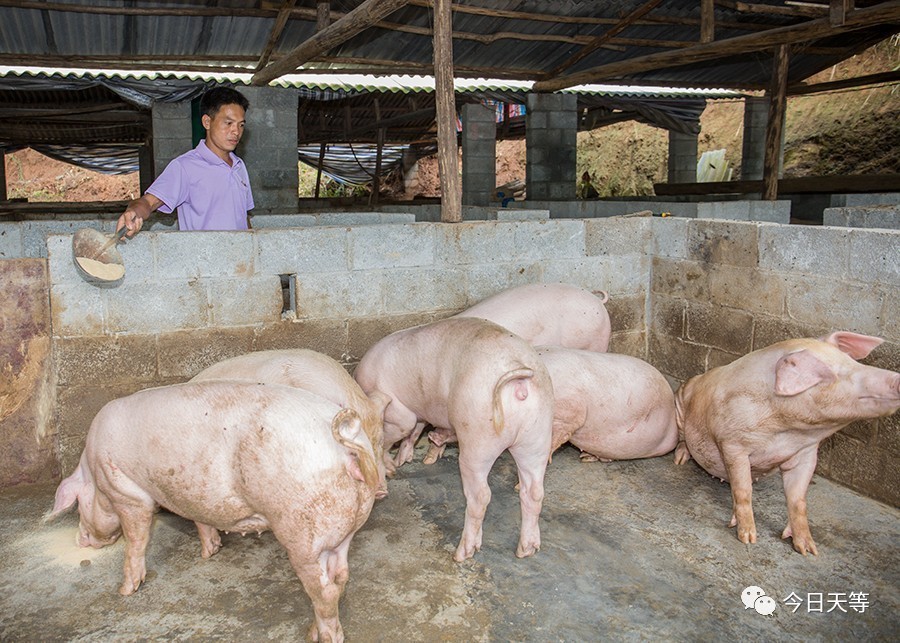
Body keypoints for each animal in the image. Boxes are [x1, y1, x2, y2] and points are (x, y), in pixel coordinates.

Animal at [45, 380, 380, 640]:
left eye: (78, 506)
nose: (80, 540)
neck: (93, 471)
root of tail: (348, 449)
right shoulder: (192, 494)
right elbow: (199, 518)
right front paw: (210, 552)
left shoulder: (126, 492)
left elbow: (136, 540)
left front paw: (126, 590)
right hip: (343, 532)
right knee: (340, 578)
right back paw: (315, 630)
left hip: (303, 534)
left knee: (324, 592)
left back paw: (322, 637)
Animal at [354, 320, 556, 560]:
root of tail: (520, 380)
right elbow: (414, 431)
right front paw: (405, 459)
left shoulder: (399, 414)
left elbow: (397, 433)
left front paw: (392, 467)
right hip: (537, 434)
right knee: (534, 491)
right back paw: (526, 550)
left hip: (478, 436)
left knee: (481, 496)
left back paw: (462, 554)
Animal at [676, 334, 900, 556]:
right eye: (834, 373)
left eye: (853, 362)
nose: (897, 379)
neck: (786, 432)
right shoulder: (733, 444)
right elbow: (743, 490)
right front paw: (748, 538)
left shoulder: (807, 455)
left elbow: (798, 501)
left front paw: (808, 550)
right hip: (681, 406)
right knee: (684, 439)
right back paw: (680, 459)